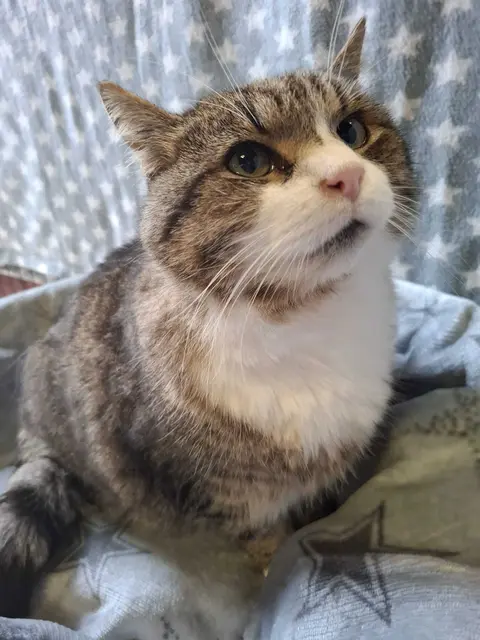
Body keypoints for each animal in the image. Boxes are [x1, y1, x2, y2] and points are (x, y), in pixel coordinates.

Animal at [0, 19, 414, 618]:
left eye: (352, 130)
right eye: (248, 161)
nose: (346, 176)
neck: (306, 314)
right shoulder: (216, 489)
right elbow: (260, 533)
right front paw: (271, 563)